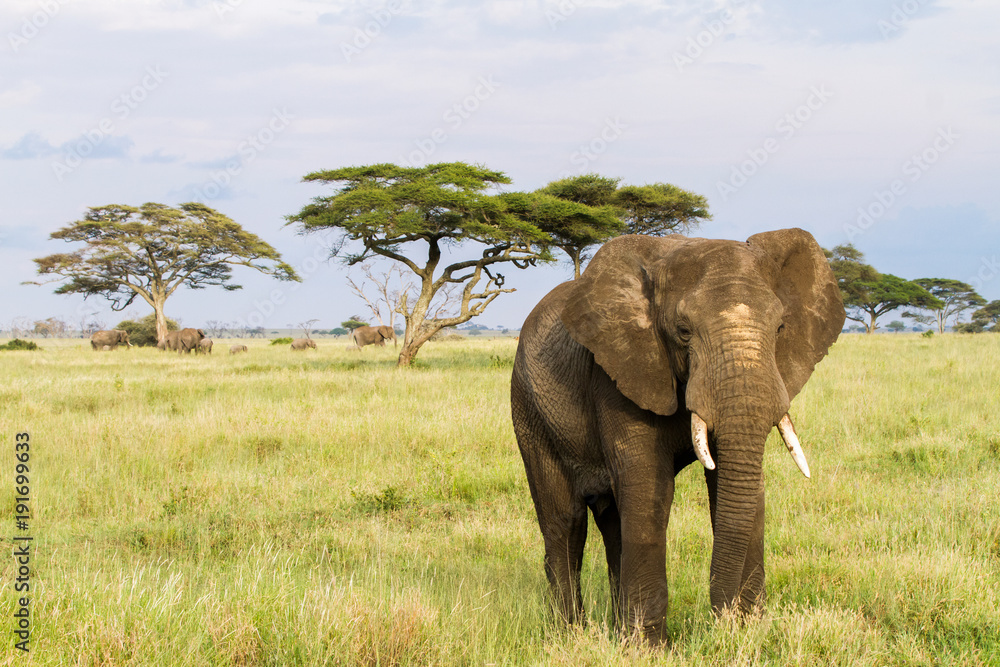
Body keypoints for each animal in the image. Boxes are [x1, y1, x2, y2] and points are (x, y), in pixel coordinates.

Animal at [510, 230, 845, 642]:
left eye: (781, 328)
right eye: (683, 332)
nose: (721, 619)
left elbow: (736, 486)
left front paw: (750, 634)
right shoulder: (619, 370)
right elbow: (649, 486)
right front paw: (649, 648)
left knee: (613, 522)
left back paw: (616, 629)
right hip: (529, 407)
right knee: (565, 521)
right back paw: (570, 634)